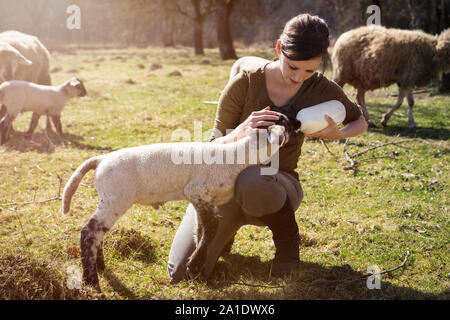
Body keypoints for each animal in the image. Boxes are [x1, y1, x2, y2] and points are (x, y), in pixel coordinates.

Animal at [59, 109, 298, 288]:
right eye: (284, 121)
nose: (297, 122)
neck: (239, 155)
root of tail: (100, 160)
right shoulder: (198, 192)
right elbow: (211, 228)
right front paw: (194, 264)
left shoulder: (202, 200)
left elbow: (201, 230)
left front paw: (196, 265)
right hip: (115, 200)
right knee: (89, 232)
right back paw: (91, 280)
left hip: (109, 201)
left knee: (97, 233)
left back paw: (100, 267)